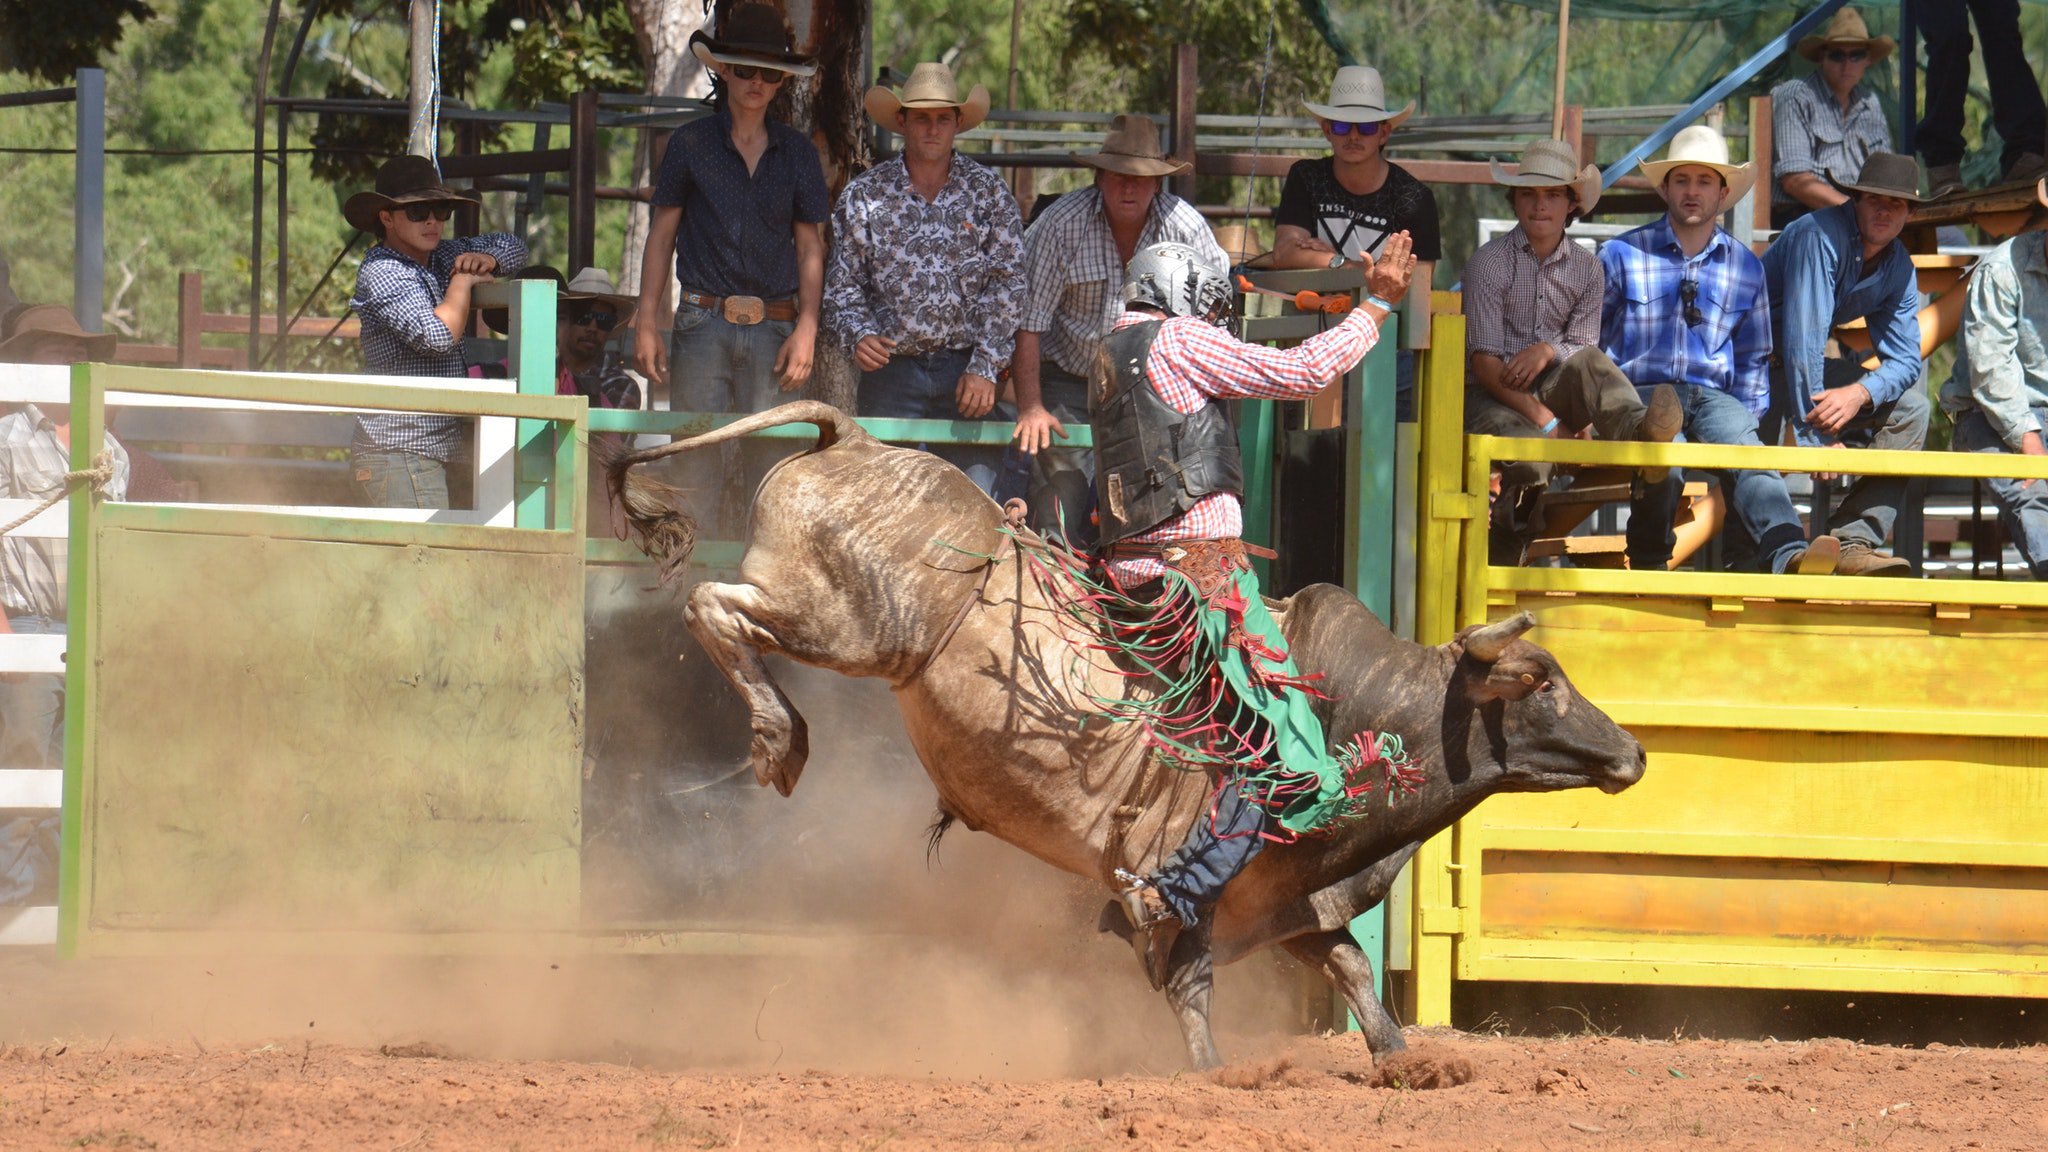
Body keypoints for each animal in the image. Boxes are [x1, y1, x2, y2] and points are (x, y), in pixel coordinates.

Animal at [598, 401, 1646, 1065]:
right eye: (1540, 682)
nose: (1634, 755)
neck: (1351, 716)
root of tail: (853, 438)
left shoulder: (1286, 901)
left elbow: (1354, 974)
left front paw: (1412, 1064)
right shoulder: (1186, 890)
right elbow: (1191, 989)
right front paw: (1216, 1075)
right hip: (854, 628)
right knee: (713, 607)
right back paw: (779, 737)